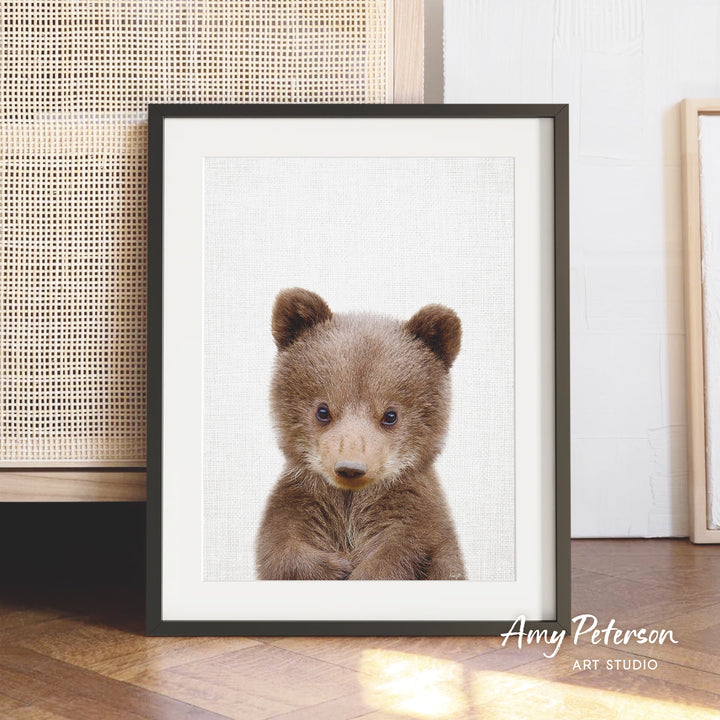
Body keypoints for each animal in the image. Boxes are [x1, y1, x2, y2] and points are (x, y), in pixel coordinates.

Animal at [255, 287, 466, 581]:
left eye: (390, 415)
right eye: (323, 410)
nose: (350, 468)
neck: (350, 501)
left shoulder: (413, 515)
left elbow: (402, 551)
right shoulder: (301, 500)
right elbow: (280, 547)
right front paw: (336, 567)